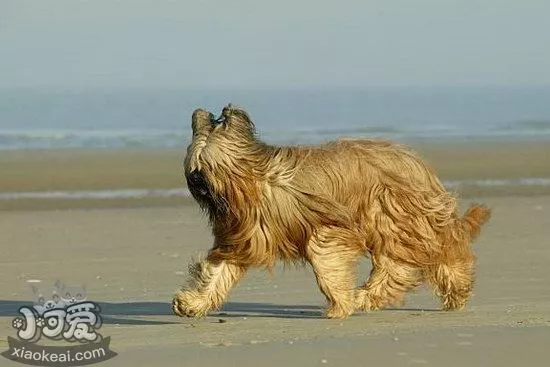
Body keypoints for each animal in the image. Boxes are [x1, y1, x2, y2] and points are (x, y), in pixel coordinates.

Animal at [172, 104, 492, 320]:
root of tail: (416, 162)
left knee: (423, 256)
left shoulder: (329, 227)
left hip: (394, 216)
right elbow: (217, 272)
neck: (255, 181)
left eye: (206, 164)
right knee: (407, 261)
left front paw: (340, 302)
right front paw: (192, 303)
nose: (197, 182)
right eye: (192, 165)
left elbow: (324, 257)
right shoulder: (240, 240)